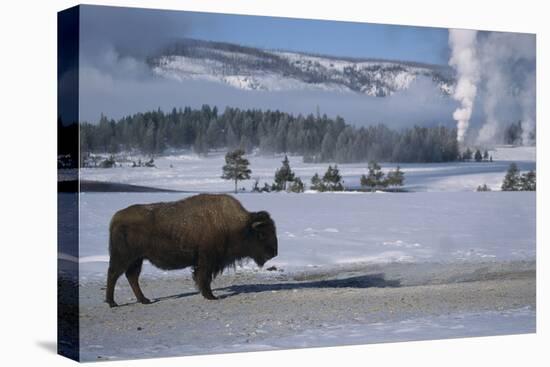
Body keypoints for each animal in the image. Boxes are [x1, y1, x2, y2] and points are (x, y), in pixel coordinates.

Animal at [105, 193, 278, 308]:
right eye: (262, 234)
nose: (274, 253)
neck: (237, 226)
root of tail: (116, 217)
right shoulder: (206, 260)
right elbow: (203, 278)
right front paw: (211, 296)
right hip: (124, 257)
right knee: (114, 274)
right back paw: (112, 302)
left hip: (137, 259)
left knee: (132, 277)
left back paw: (144, 300)